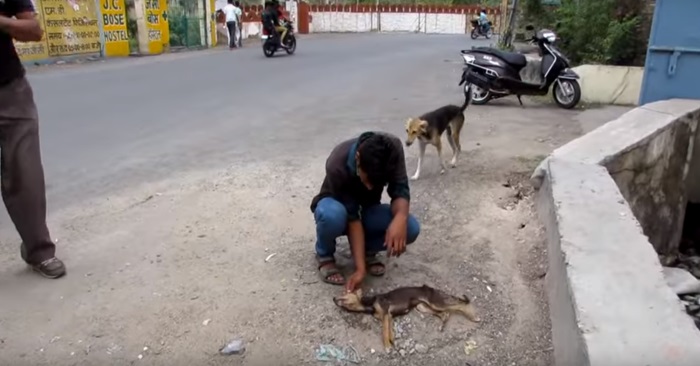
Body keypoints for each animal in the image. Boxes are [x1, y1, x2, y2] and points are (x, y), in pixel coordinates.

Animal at [332, 284, 476, 350]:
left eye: (343, 295)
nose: (333, 298)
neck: (369, 303)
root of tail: (431, 288)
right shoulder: (388, 317)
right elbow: (389, 332)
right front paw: (392, 342)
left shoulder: (386, 314)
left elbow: (384, 332)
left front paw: (387, 346)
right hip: (423, 307)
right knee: (445, 314)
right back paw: (442, 325)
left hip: (435, 303)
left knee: (459, 306)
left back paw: (473, 317)